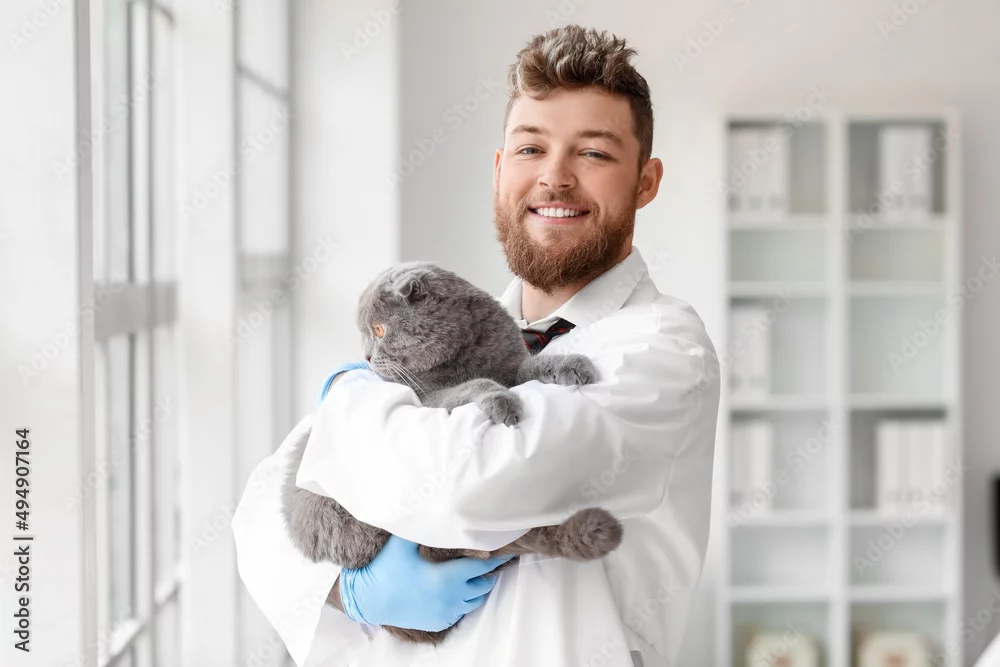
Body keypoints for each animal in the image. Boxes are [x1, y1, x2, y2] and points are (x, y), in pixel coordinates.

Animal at [281, 261, 624, 645]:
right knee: (431, 547)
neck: (464, 352)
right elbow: (474, 386)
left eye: (379, 329)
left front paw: (571, 364)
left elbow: (531, 366)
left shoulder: (510, 364)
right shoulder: (428, 399)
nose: (366, 357)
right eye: (365, 333)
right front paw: (501, 400)